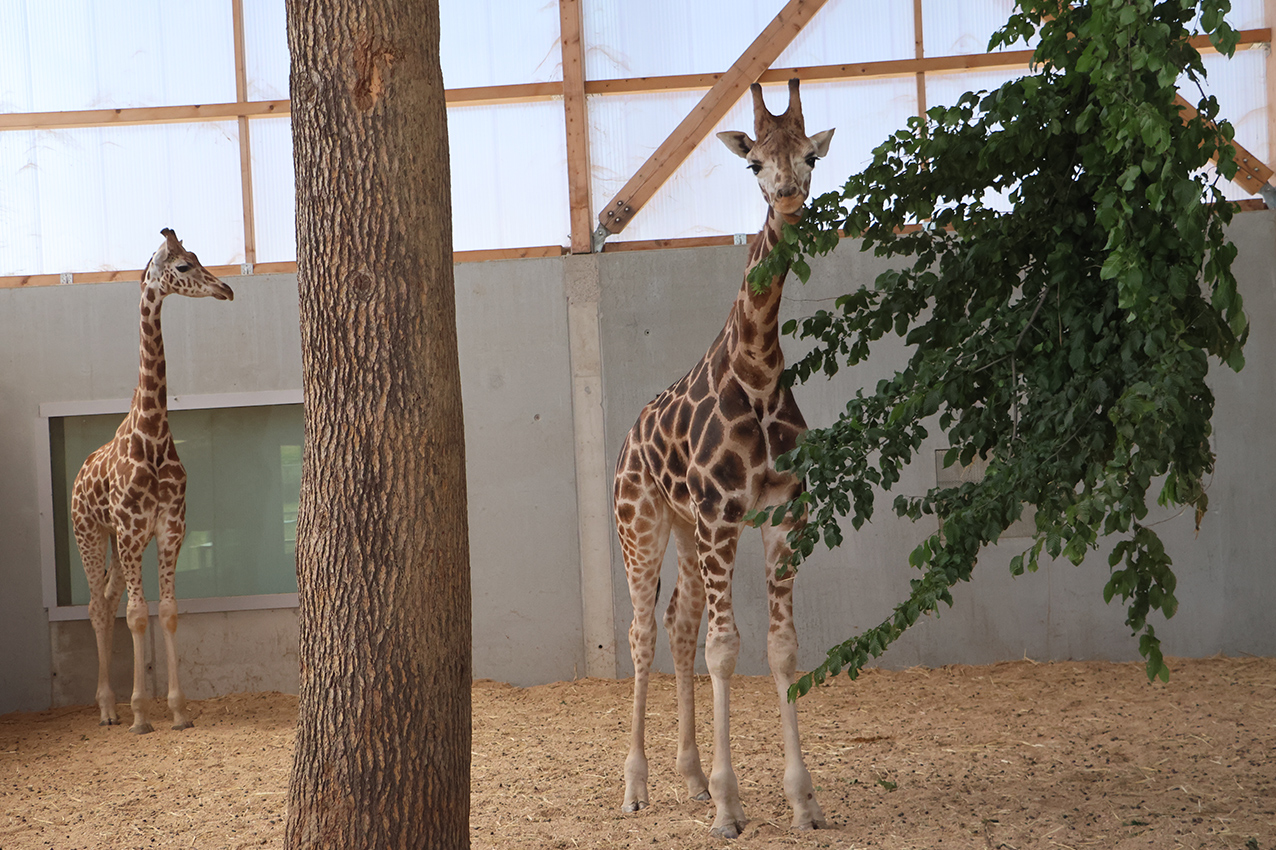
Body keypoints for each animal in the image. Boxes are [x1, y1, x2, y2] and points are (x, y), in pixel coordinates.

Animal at [71, 228, 234, 734]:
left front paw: (178, 710)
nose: (226, 289)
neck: (154, 433)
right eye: (182, 266)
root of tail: (78, 475)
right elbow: (137, 616)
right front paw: (142, 713)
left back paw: (113, 704)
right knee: (97, 606)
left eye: (198, 256)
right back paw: (108, 707)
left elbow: (168, 612)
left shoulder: (168, 529)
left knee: (106, 597)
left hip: (117, 543)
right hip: (90, 533)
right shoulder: (129, 531)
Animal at [613, 79, 834, 838]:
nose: (789, 195)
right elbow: (724, 648)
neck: (760, 372)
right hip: (642, 524)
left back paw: (687, 779)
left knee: (678, 625)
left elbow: (779, 647)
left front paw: (802, 801)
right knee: (642, 633)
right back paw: (636, 787)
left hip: (683, 529)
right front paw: (729, 806)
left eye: (809, 156)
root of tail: (629, 436)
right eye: (753, 162)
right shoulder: (721, 515)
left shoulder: (780, 512)